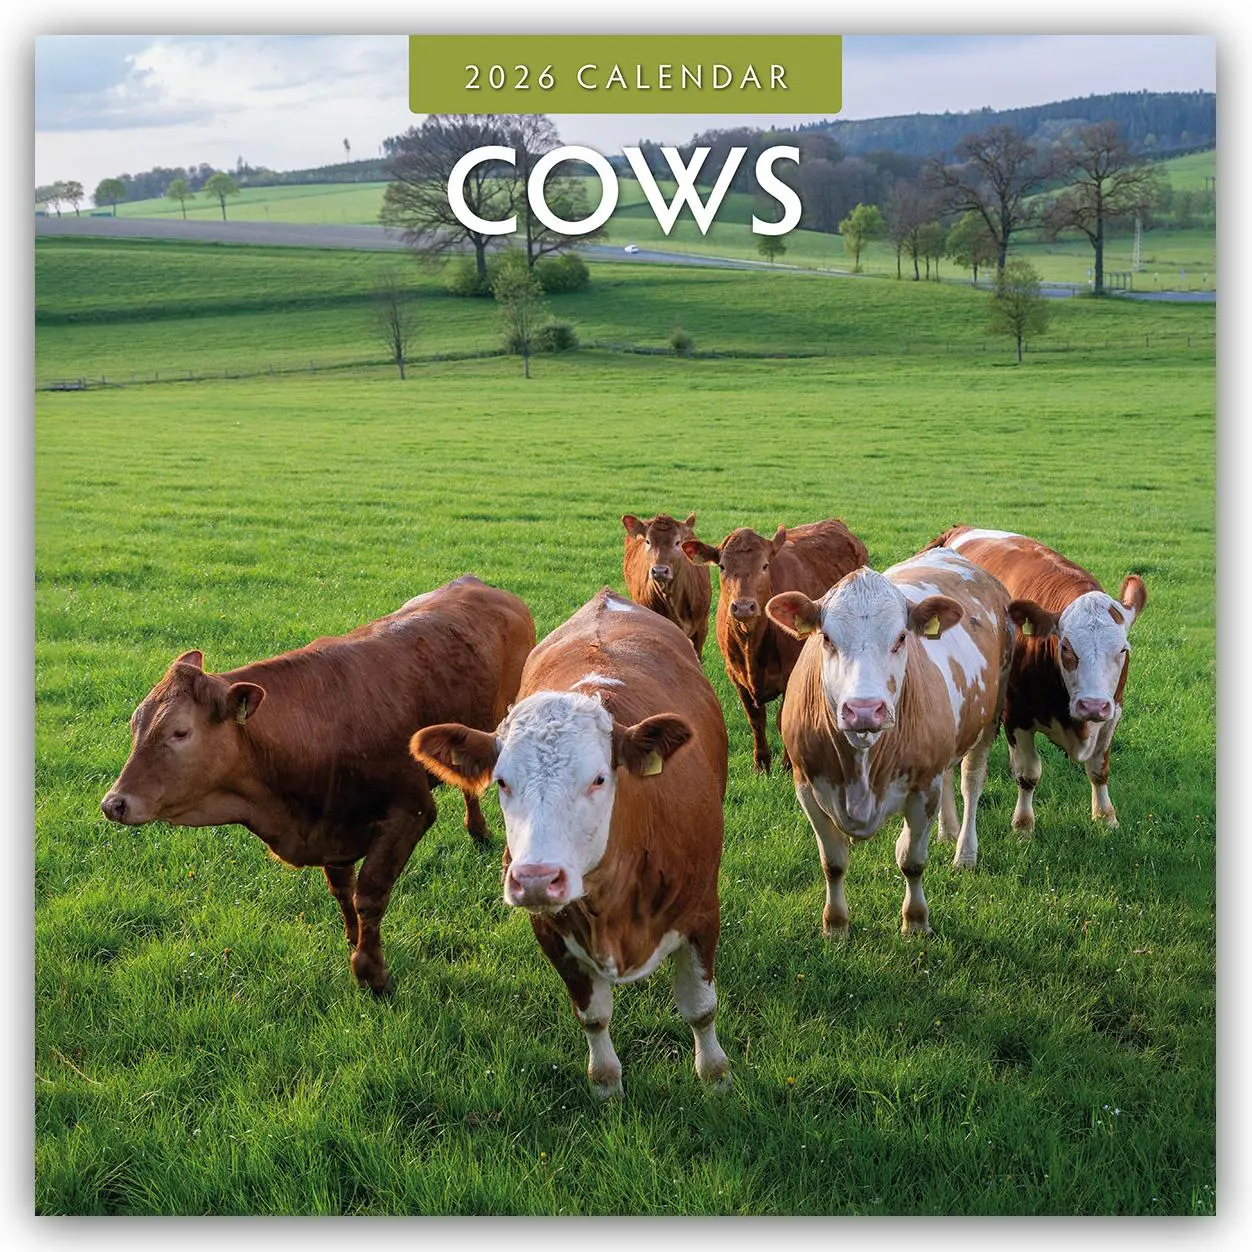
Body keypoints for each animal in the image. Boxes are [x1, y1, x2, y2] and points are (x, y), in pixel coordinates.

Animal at [99, 575, 535, 994]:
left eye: (180, 732)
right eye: (136, 723)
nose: (114, 804)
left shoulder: (410, 810)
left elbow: (369, 894)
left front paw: (371, 972)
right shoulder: (332, 825)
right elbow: (343, 890)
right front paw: (353, 941)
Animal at [411, 588, 731, 1099]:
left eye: (599, 778)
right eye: (502, 782)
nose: (536, 879)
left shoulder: (702, 911)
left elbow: (700, 1007)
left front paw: (715, 1076)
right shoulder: (550, 931)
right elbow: (593, 1016)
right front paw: (606, 1084)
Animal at [682, 519, 869, 773]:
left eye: (765, 565)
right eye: (721, 566)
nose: (743, 606)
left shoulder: (790, 673)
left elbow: (782, 718)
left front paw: (787, 764)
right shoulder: (735, 676)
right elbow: (756, 720)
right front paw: (761, 764)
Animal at [766, 546, 1014, 938]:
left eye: (900, 638)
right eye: (827, 638)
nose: (864, 709)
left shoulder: (923, 787)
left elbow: (911, 860)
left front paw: (915, 921)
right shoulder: (806, 785)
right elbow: (833, 862)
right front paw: (835, 924)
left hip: (990, 716)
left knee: (970, 782)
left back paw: (964, 852)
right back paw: (947, 832)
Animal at [924, 526, 1147, 832]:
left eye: (1123, 650)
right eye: (1065, 647)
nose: (1092, 705)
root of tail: (960, 529)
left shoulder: (1113, 712)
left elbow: (1099, 769)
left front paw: (1105, 817)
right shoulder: (1016, 716)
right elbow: (1028, 773)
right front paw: (1023, 824)